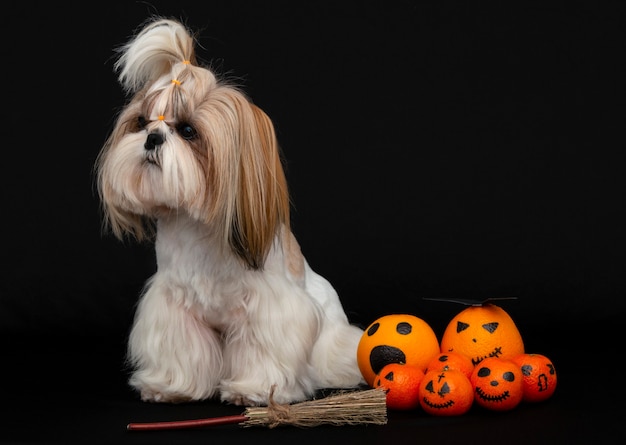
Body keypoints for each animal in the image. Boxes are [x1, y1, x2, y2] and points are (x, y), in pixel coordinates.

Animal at [95, 17, 364, 406]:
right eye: (141, 122)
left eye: (188, 130)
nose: (152, 138)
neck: (196, 229)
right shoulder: (174, 306)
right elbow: (182, 349)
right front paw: (170, 387)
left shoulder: (269, 310)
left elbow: (262, 351)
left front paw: (254, 390)